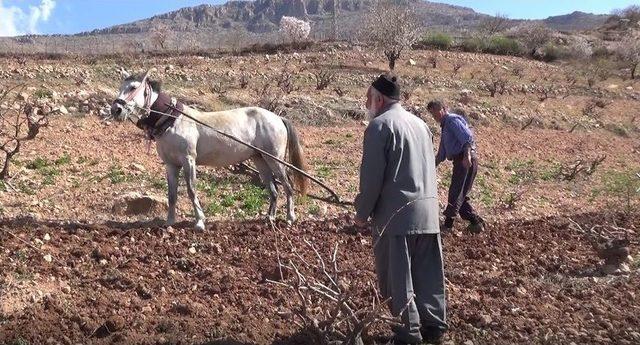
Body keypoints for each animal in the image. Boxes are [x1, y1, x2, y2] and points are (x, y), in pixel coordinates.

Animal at [110, 68, 308, 230]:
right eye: (121, 86)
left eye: (133, 87)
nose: (116, 109)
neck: (172, 121)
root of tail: (278, 118)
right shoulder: (171, 165)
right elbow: (172, 195)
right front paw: (169, 222)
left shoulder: (189, 160)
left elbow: (191, 190)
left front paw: (199, 222)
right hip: (260, 159)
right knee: (273, 190)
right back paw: (270, 218)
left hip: (275, 159)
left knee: (288, 186)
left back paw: (290, 218)